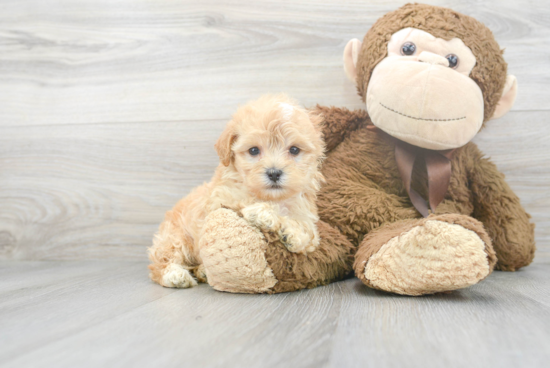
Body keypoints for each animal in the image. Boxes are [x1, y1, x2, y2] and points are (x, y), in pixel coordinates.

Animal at [149, 94, 326, 288]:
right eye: (254, 150)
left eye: (294, 149)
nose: (274, 173)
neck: (273, 197)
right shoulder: (223, 199)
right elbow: (247, 203)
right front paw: (263, 214)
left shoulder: (306, 216)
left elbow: (309, 233)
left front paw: (291, 233)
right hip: (176, 238)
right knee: (161, 262)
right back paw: (175, 275)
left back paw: (202, 271)